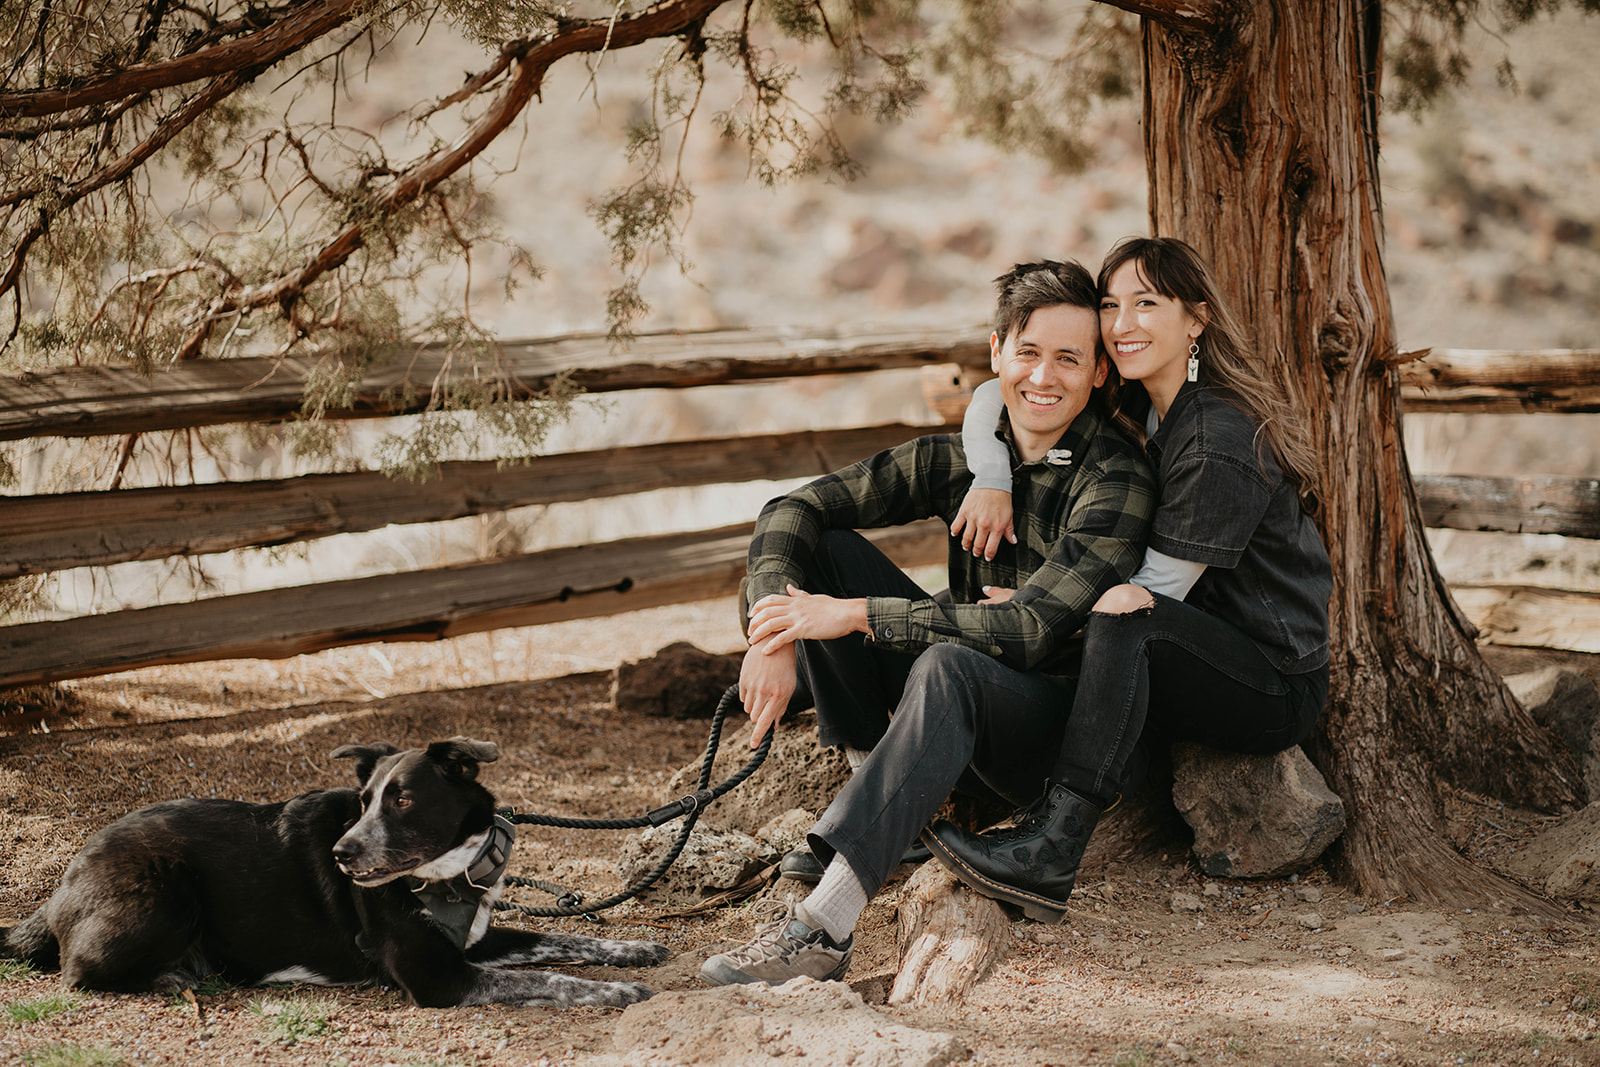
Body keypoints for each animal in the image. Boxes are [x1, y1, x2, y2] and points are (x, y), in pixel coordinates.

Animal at [0, 739, 668, 1004]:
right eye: (365, 799)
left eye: (402, 800)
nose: (343, 853)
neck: (446, 876)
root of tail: (61, 883)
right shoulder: (440, 979)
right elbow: (552, 977)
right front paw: (619, 992)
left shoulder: (475, 942)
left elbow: (562, 937)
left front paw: (634, 951)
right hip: (167, 889)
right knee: (79, 972)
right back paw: (175, 977)